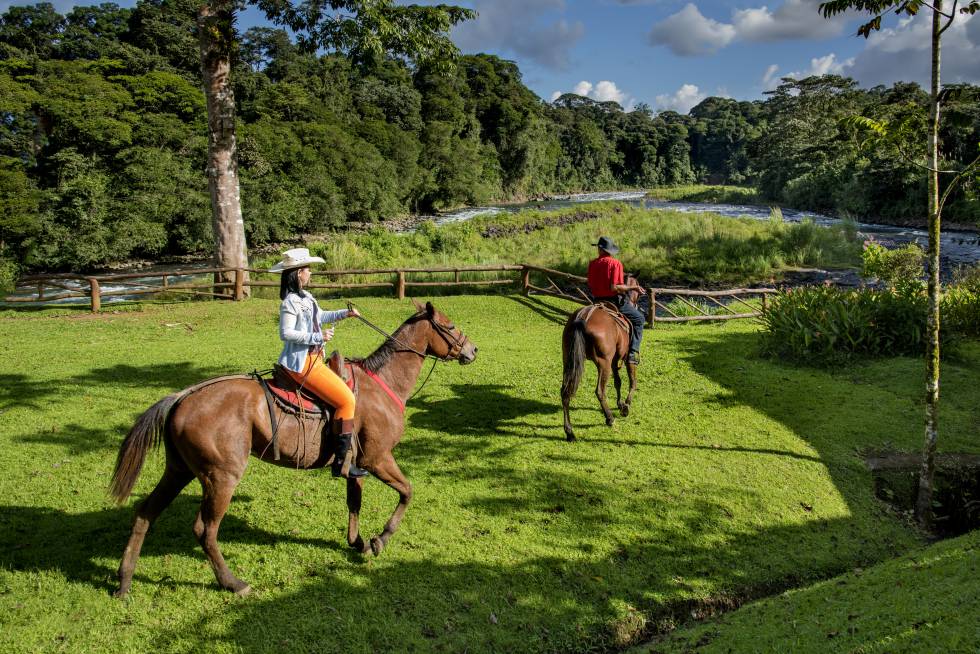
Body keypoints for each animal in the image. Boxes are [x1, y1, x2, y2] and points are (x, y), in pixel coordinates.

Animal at [109, 302, 476, 600]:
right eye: (450, 325)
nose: (472, 350)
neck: (383, 383)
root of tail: (182, 397)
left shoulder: (356, 464)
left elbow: (354, 503)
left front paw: (358, 542)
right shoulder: (378, 458)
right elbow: (407, 492)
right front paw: (380, 539)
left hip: (179, 470)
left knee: (144, 513)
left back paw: (124, 582)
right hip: (220, 477)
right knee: (205, 530)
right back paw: (233, 583)